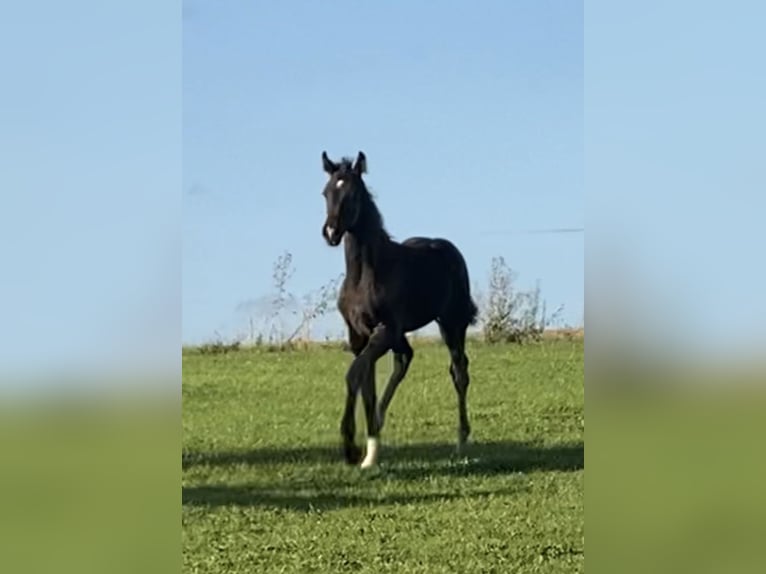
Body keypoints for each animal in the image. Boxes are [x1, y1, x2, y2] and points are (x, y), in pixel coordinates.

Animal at [320, 150, 479, 468]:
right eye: (326, 192)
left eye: (353, 194)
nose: (330, 232)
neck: (365, 275)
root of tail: (448, 249)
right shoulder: (359, 336)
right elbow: (366, 383)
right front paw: (369, 453)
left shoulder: (384, 330)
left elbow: (354, 375)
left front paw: (351, 447)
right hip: (403, 333)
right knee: (404, 358)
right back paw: (380, 420)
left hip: (451, 323)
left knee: (459, 370)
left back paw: (461, 440)